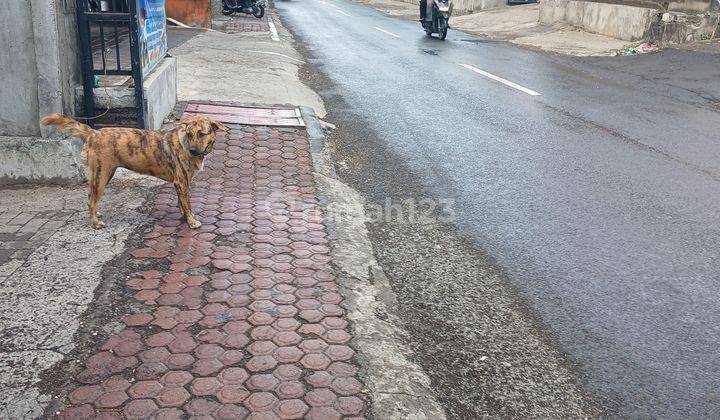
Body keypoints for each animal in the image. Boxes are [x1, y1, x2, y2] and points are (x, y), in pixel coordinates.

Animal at [43, 113, 228, 228]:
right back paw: (95, 223)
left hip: (104, 174)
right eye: (190, 134)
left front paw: (184, 216)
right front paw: (191, 221)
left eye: (201, 134)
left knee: (92, 199)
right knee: (91, 200)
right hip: (101, 175)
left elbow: (182, 203)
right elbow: (187, 204)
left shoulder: (183, 183)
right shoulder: (181, 181)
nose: (193, 151)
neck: (185, 143)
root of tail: (93, 133)